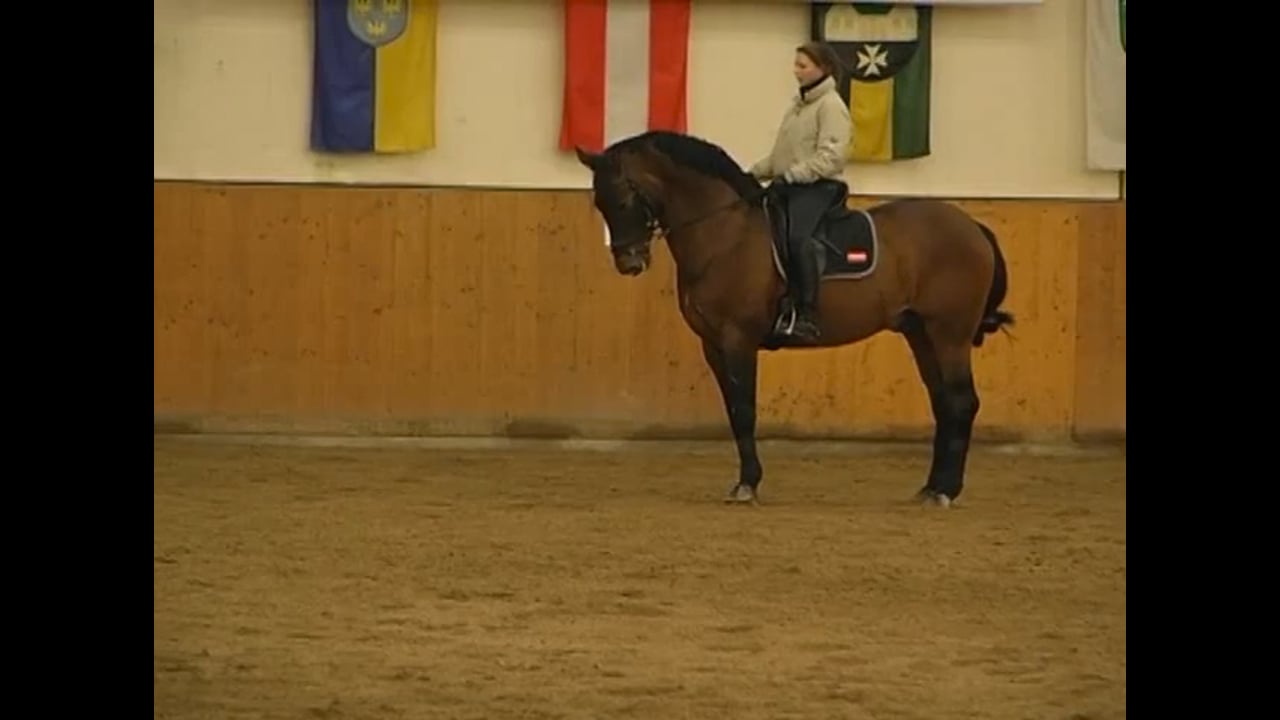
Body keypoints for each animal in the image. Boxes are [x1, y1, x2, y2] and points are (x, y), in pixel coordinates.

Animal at [574, 130, 1014, 508]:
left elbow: (745, 410)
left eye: (624, 199)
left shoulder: (738, 338)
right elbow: (733, 411)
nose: (629, 263)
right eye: (600, 203)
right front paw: (744, 481)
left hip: (949, 334)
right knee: (943, 402)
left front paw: (747, 485)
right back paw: (931, 487)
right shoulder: (712, 344)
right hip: (920, 332)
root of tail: (971, 226)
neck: (724, 233)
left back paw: (947, 491)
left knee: (961, 402)